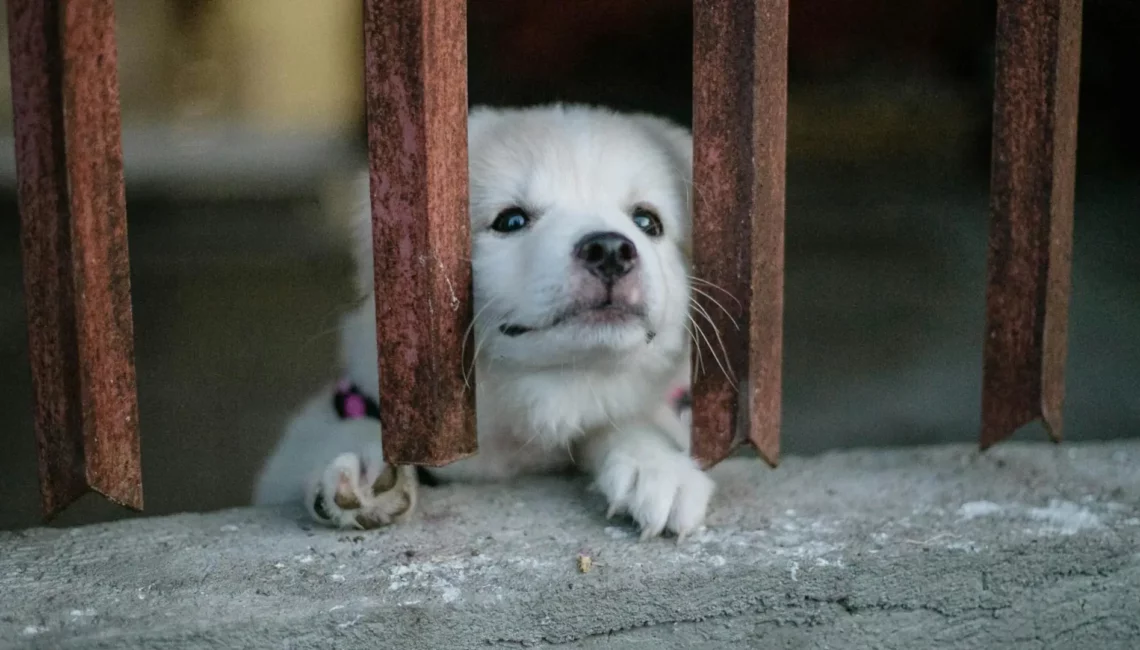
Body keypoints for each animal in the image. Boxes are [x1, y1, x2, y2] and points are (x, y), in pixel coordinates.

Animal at [256, 102, 711, 535]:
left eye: (646, 221)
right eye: (511, 220)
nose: (611, 250)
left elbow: (625, 422)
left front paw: (655, 466)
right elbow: (334, 432)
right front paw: (364, 466)